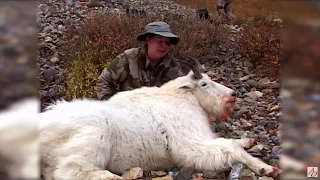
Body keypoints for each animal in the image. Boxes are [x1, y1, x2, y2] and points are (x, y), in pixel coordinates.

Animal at [38, 61, 282, 179]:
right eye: (204, 84)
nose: (232, 95)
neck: (185, 99)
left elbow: (231, 141)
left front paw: (249, 141)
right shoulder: (190, 145)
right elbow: (229, 147)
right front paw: (266, 169)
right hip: (93, 139)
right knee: (69, 171)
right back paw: (115, 178)